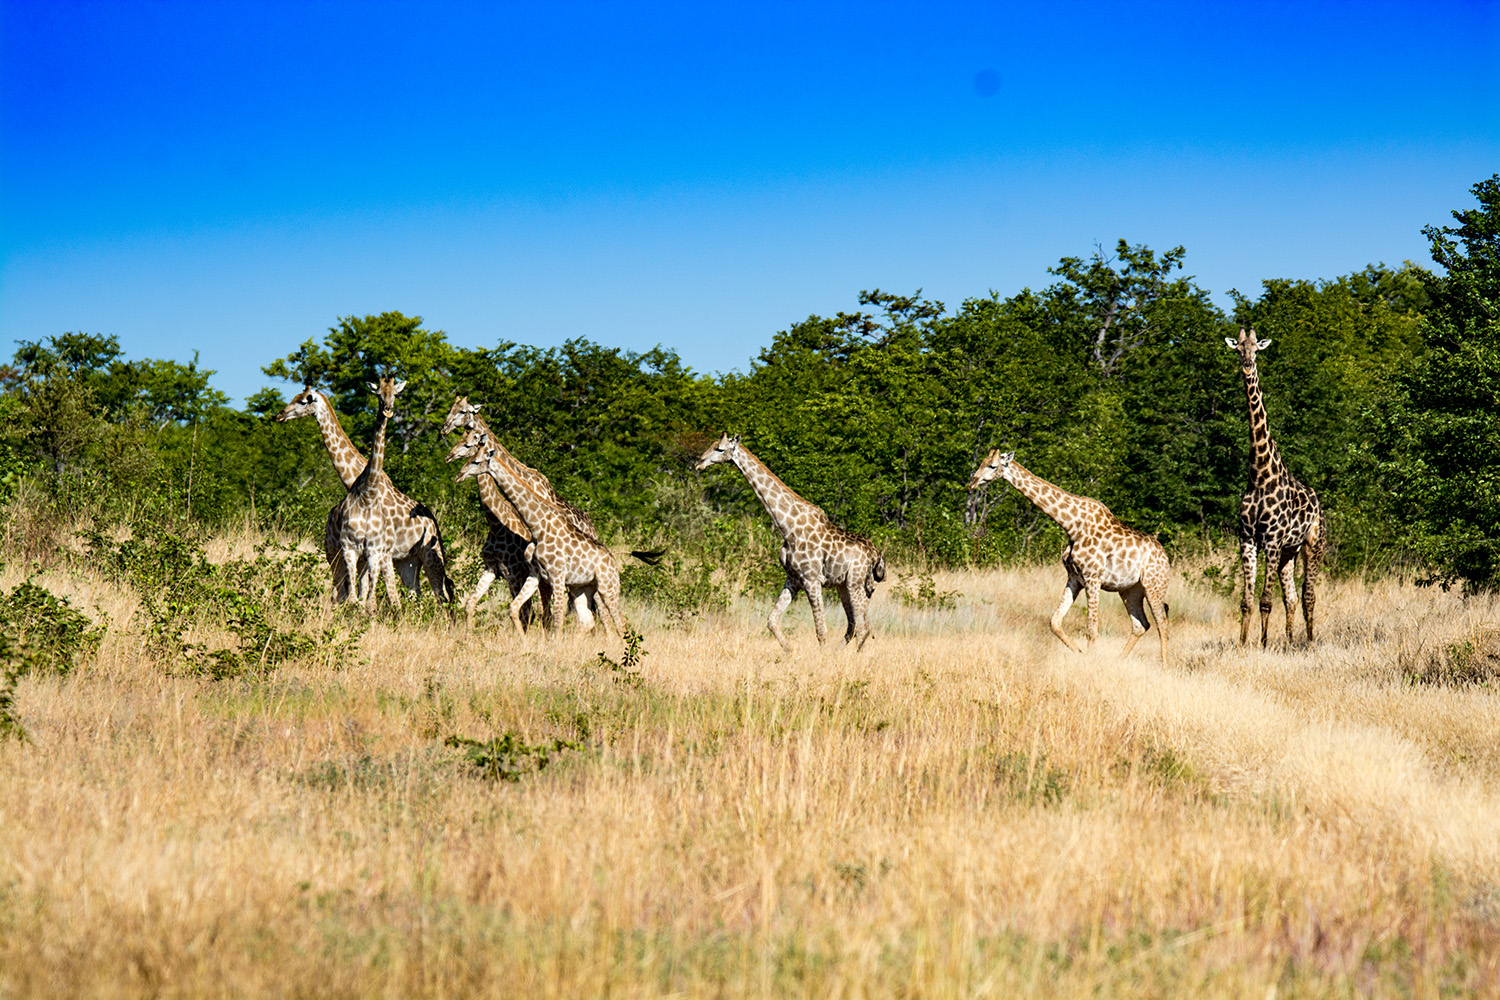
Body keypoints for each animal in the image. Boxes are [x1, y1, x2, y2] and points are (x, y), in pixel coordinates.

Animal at [333, 378, 455, 613]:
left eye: (395, 394)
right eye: (378, 394)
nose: (388, 410)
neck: (367, 494)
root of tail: (433, 519)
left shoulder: (376, 550)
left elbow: (371, 599)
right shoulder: (350, 548)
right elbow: (355, 597)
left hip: (430, 555)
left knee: (439, 595)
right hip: (406, 560)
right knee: (414, 593)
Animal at [448, 426, 628, 636]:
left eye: (475, 459)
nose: (457, 475)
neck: (537, 527)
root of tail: (614, 560)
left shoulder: (551, 575)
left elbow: (553, 619)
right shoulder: (531, 574)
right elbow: (511, 608)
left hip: (607, 587)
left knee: (617, 621)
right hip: (581, 588)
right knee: (587, 620)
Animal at [694, 434, 885, 651]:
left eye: (719, 449)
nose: (698, 463)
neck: (787, 527)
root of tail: (875, 554)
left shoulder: (812, 580)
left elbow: (821, 630)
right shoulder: (793, 579)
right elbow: (772, 620)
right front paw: (789, 650)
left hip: (855, 582)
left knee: (862, 628)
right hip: (845, 585)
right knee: (855, 626)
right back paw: (838, 653)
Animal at [969, 450, 1170, 664]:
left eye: (992, 466)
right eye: (981, 462)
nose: (972, 482)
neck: (1072, 525)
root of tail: (1165, 557)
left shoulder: (1092, 577)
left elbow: (1091, 628)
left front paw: (1090, 661)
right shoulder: (1074, 577)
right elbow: (1055, 622)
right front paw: (1080, 652)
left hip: (1153, 585)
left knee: (1162, 622)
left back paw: (1165, 666)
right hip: (1130, 589)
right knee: (1141, 624)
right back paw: (1119, 660)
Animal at [1225, 328, 1325, 647]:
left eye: (1256, 349)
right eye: (1238, 349)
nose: (1247, 365)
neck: (1259, 474)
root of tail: (1319, 504)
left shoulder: (1271, 538)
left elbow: (1265, 601)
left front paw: (1263, 644)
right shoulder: (1247, 538)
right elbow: (1247, 601)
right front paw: (1244, 644)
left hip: (1313, 544)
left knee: (1308, 596)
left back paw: (1309, 641)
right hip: (1289, 551)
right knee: (1291, 598)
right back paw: (1291, 641)